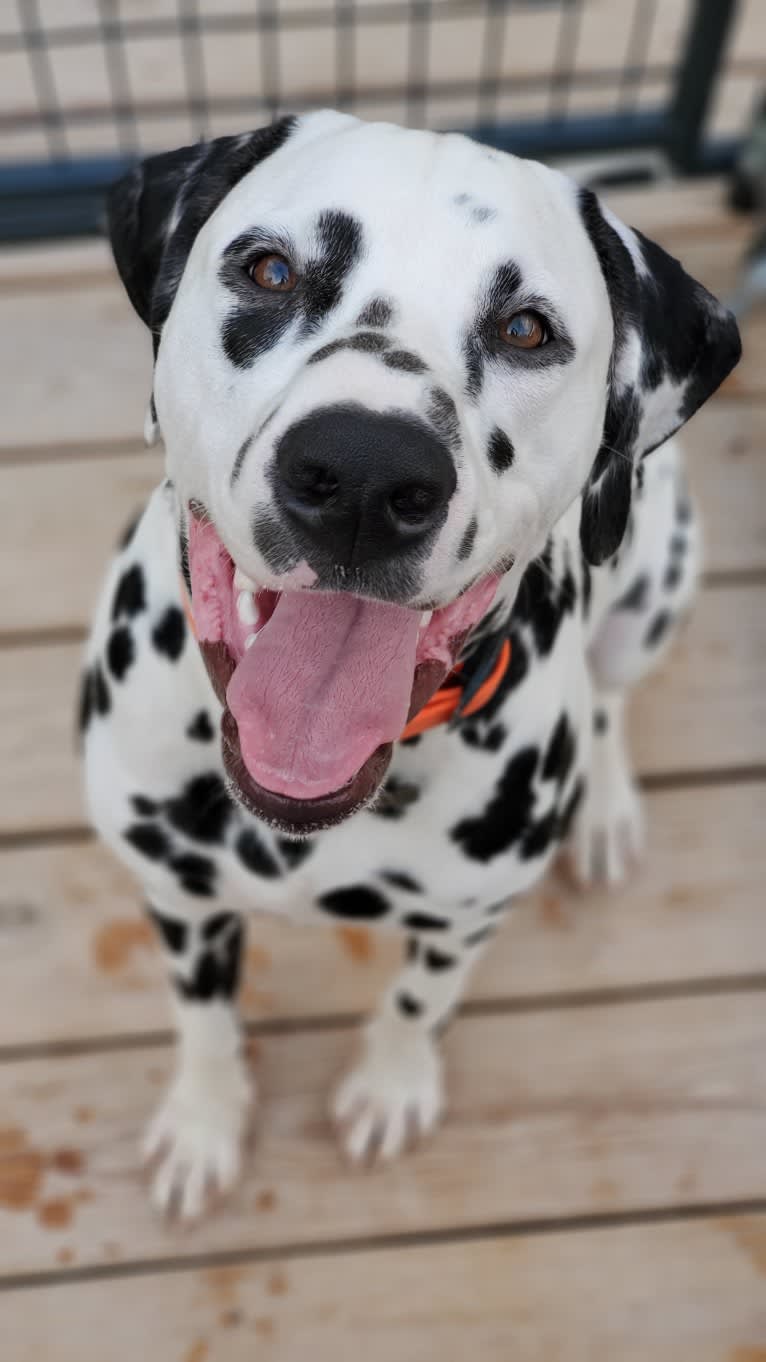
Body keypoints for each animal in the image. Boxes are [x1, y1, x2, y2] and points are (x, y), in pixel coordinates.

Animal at [80, 103, 736, 1214]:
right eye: (268, 270)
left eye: (526, 329)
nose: (363, 474)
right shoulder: (177, 895)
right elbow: (203, 1019)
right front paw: (204, 1122)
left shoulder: (464, 918)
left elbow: (421, 1001)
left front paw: (391, 1084)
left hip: (651, 594)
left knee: (609, 701)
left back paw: (604, 810)